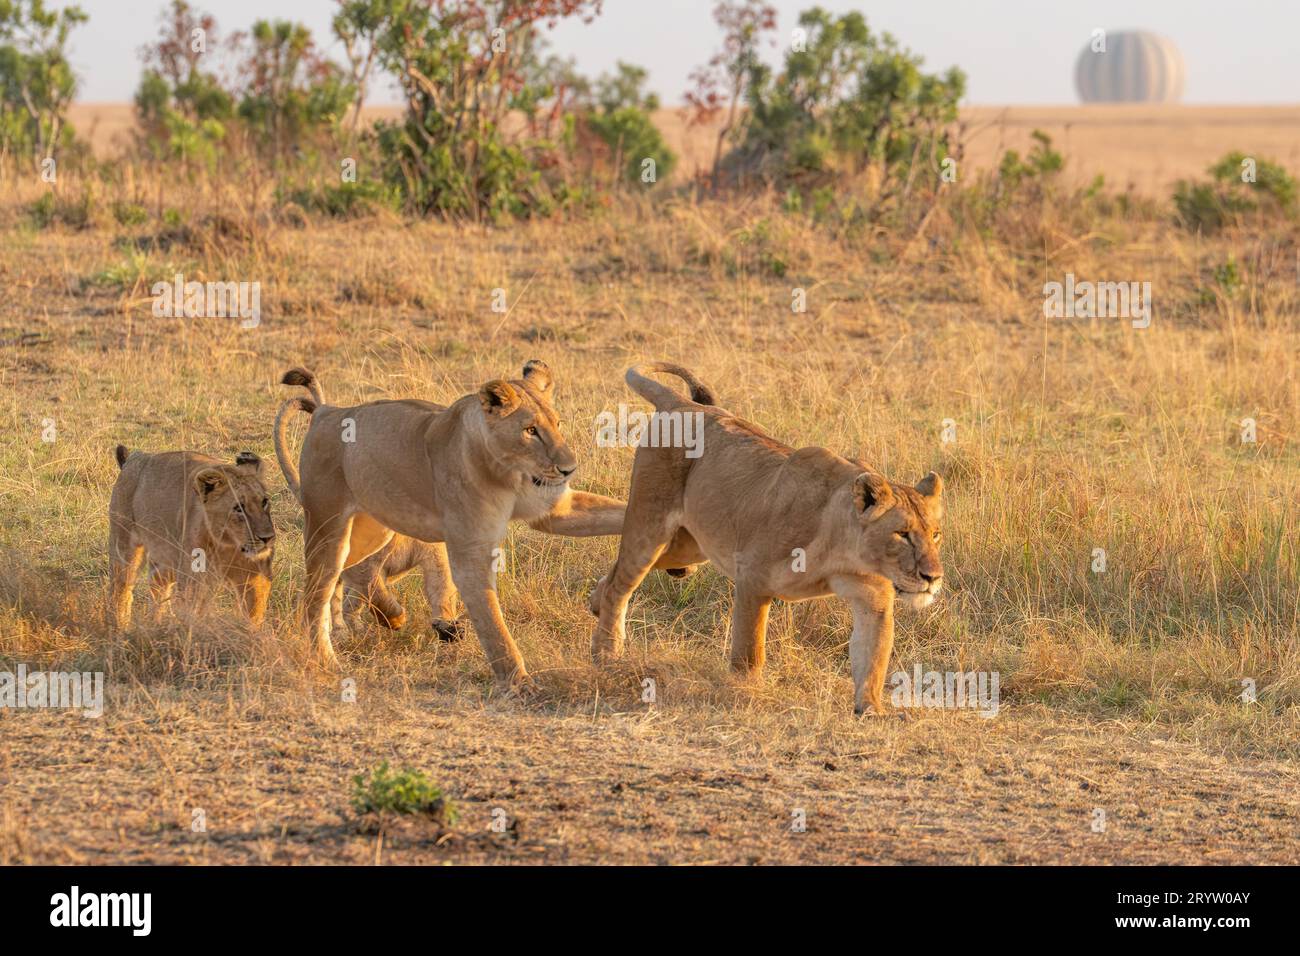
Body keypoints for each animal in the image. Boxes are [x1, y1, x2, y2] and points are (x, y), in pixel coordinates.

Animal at [108, 446, 276, 629]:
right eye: (239, 508)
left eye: (264, 502)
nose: (267, 538)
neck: (228, 544)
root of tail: (134, 457)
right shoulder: (193, 580)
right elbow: (193, 616)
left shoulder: (256, 577)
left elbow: (254, 616)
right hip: (124, 548)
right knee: (121, 590)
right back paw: (119, 627)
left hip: (167, 559)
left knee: (157, 585)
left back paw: (155, 624)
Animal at [273, 360, 631, 686]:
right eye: (530, 431)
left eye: (557, 424)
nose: (569, 469)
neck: (507, 473)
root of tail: (327, 412)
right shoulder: (470, 550)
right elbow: (492, 622)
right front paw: (519, 681)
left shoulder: (554, 509)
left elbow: (617, 513)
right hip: (328, 528)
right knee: (315, 597)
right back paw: (327, 662)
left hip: (370, 533)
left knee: (341, 580)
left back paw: (337, 635)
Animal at [589, 363, 945, 715]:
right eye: (902, 534)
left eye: (935, 535)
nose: (933, 577)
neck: (843, 549)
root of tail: (684, 405)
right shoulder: (752, 576)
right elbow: (750, 648)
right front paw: (744, 691)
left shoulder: (873, 599)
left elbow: (872, 657)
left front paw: (871, 710)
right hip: (651, 528)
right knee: (621, 585)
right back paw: (607, 653)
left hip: (689, 547)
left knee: (619, 574)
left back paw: (595, 603)